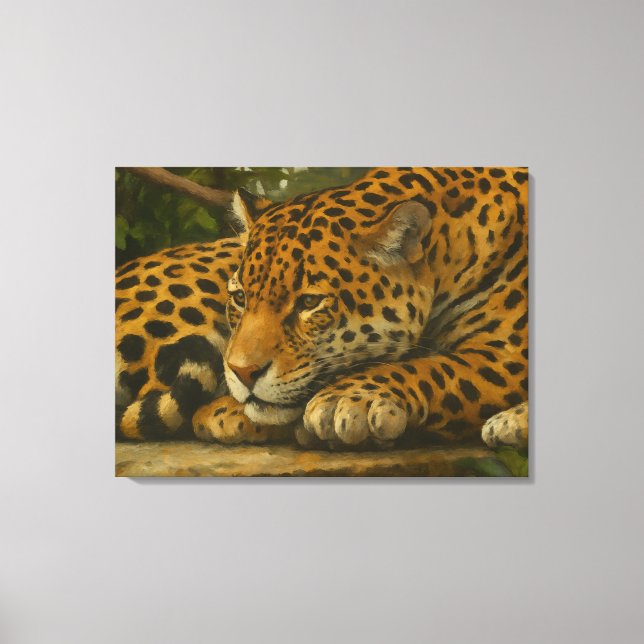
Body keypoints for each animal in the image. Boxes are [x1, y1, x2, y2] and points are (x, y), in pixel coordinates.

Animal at [115, 167, 528, 450]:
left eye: (310, 303)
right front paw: (230, 410)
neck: (449, 247)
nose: (242, 372)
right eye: (240, 298)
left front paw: (346, 399)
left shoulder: (509, 356)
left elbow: (435, 368)